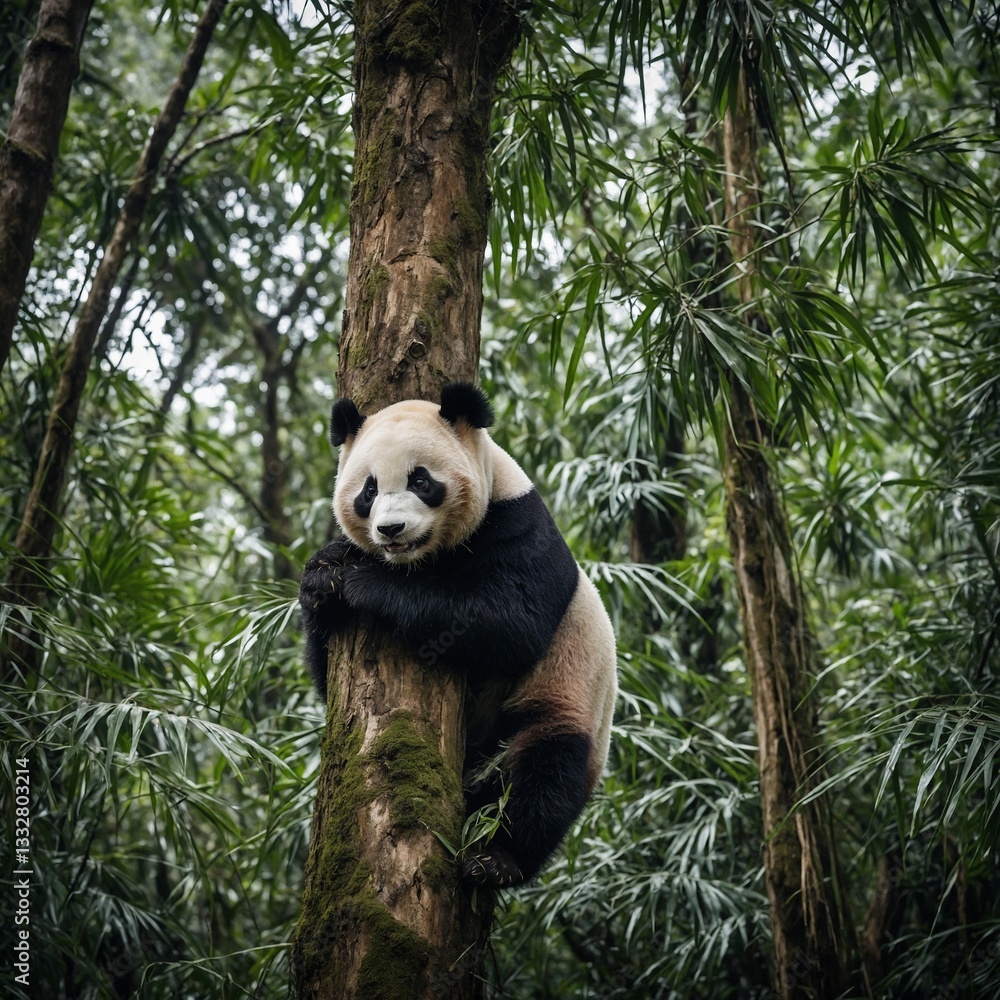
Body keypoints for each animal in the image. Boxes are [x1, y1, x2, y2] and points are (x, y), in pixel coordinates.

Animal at [299, 382, 617, 888]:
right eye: (368, 490)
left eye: (421, 481)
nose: (391, 529)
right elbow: (327, 673)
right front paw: (323, 577)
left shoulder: (521, 528)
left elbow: (509, 623)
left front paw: (365, 583)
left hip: (566, 701)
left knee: (544, 775)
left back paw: (496, 857)